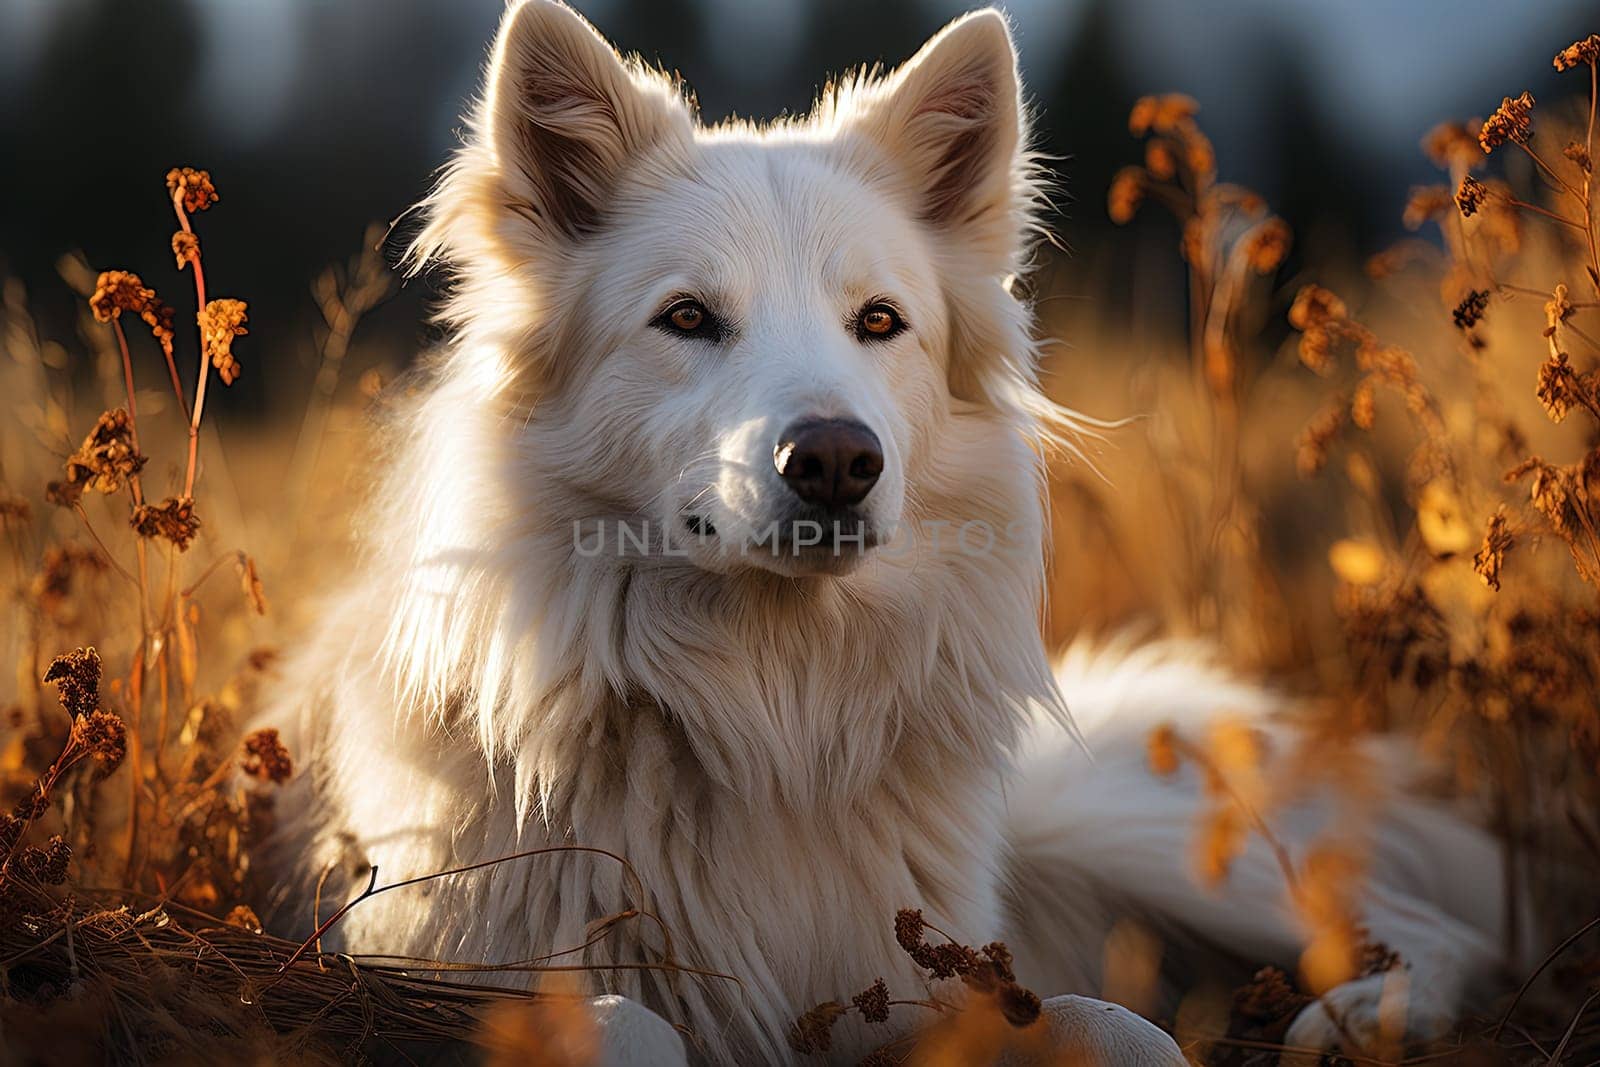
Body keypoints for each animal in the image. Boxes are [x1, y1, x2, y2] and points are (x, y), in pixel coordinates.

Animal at [268, 4, 1516, 1062]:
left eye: (878, 321)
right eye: (687, 317)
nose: (834, 460)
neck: (767, 706)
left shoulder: (926, 977)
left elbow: (1114, 1021)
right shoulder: (461, 966)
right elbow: (628, 1022)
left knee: (1444, 928)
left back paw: (1361, 1010)